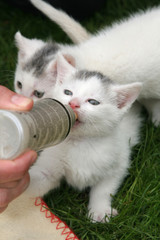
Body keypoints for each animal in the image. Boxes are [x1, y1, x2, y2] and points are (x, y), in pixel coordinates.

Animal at [24, 54, 142, 223]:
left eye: (93, 102)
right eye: (68, 92)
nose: (73, 103)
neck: (80, 142)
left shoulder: (118, 161)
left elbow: (104, 189)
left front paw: (100, 211)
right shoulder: (49, 166)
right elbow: (37, 178)